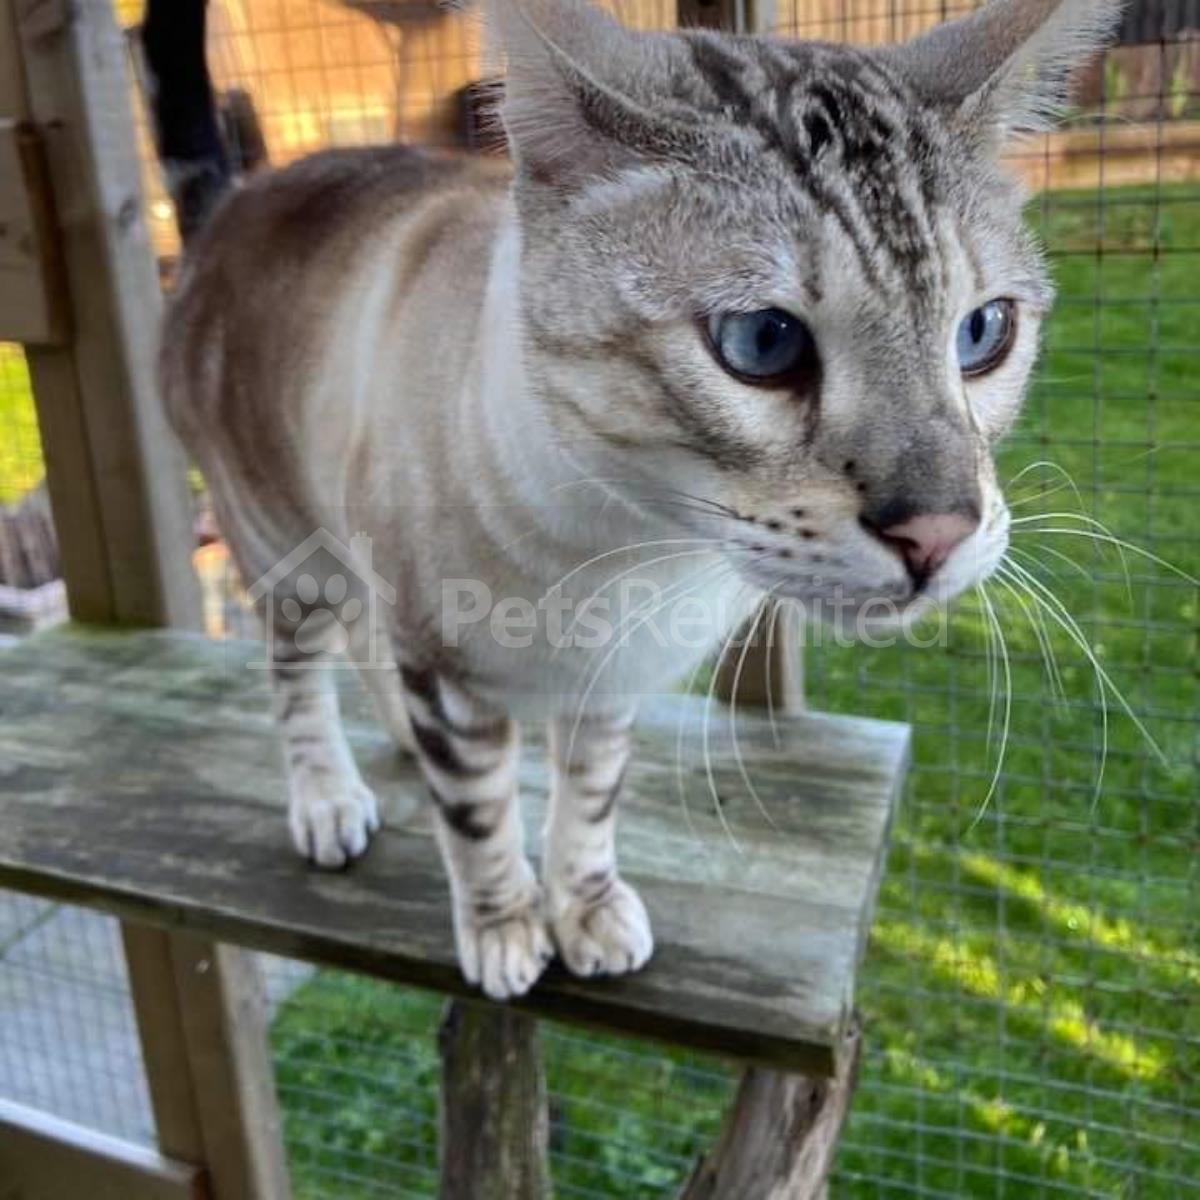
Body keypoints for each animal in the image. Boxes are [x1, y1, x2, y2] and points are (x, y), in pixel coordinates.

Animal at [162, 0, 1123, 1000]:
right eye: (763, 340)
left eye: (984, 333)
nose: (938, 531)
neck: (639, 549)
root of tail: (237, 199)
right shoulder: (447, 666)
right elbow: (479, 814)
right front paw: (505, 932)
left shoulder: (609, 681)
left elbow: (589, 799)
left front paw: (585, 911)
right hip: (282, 546)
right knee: (298, 671)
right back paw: (328, 800)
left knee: (364, 644)